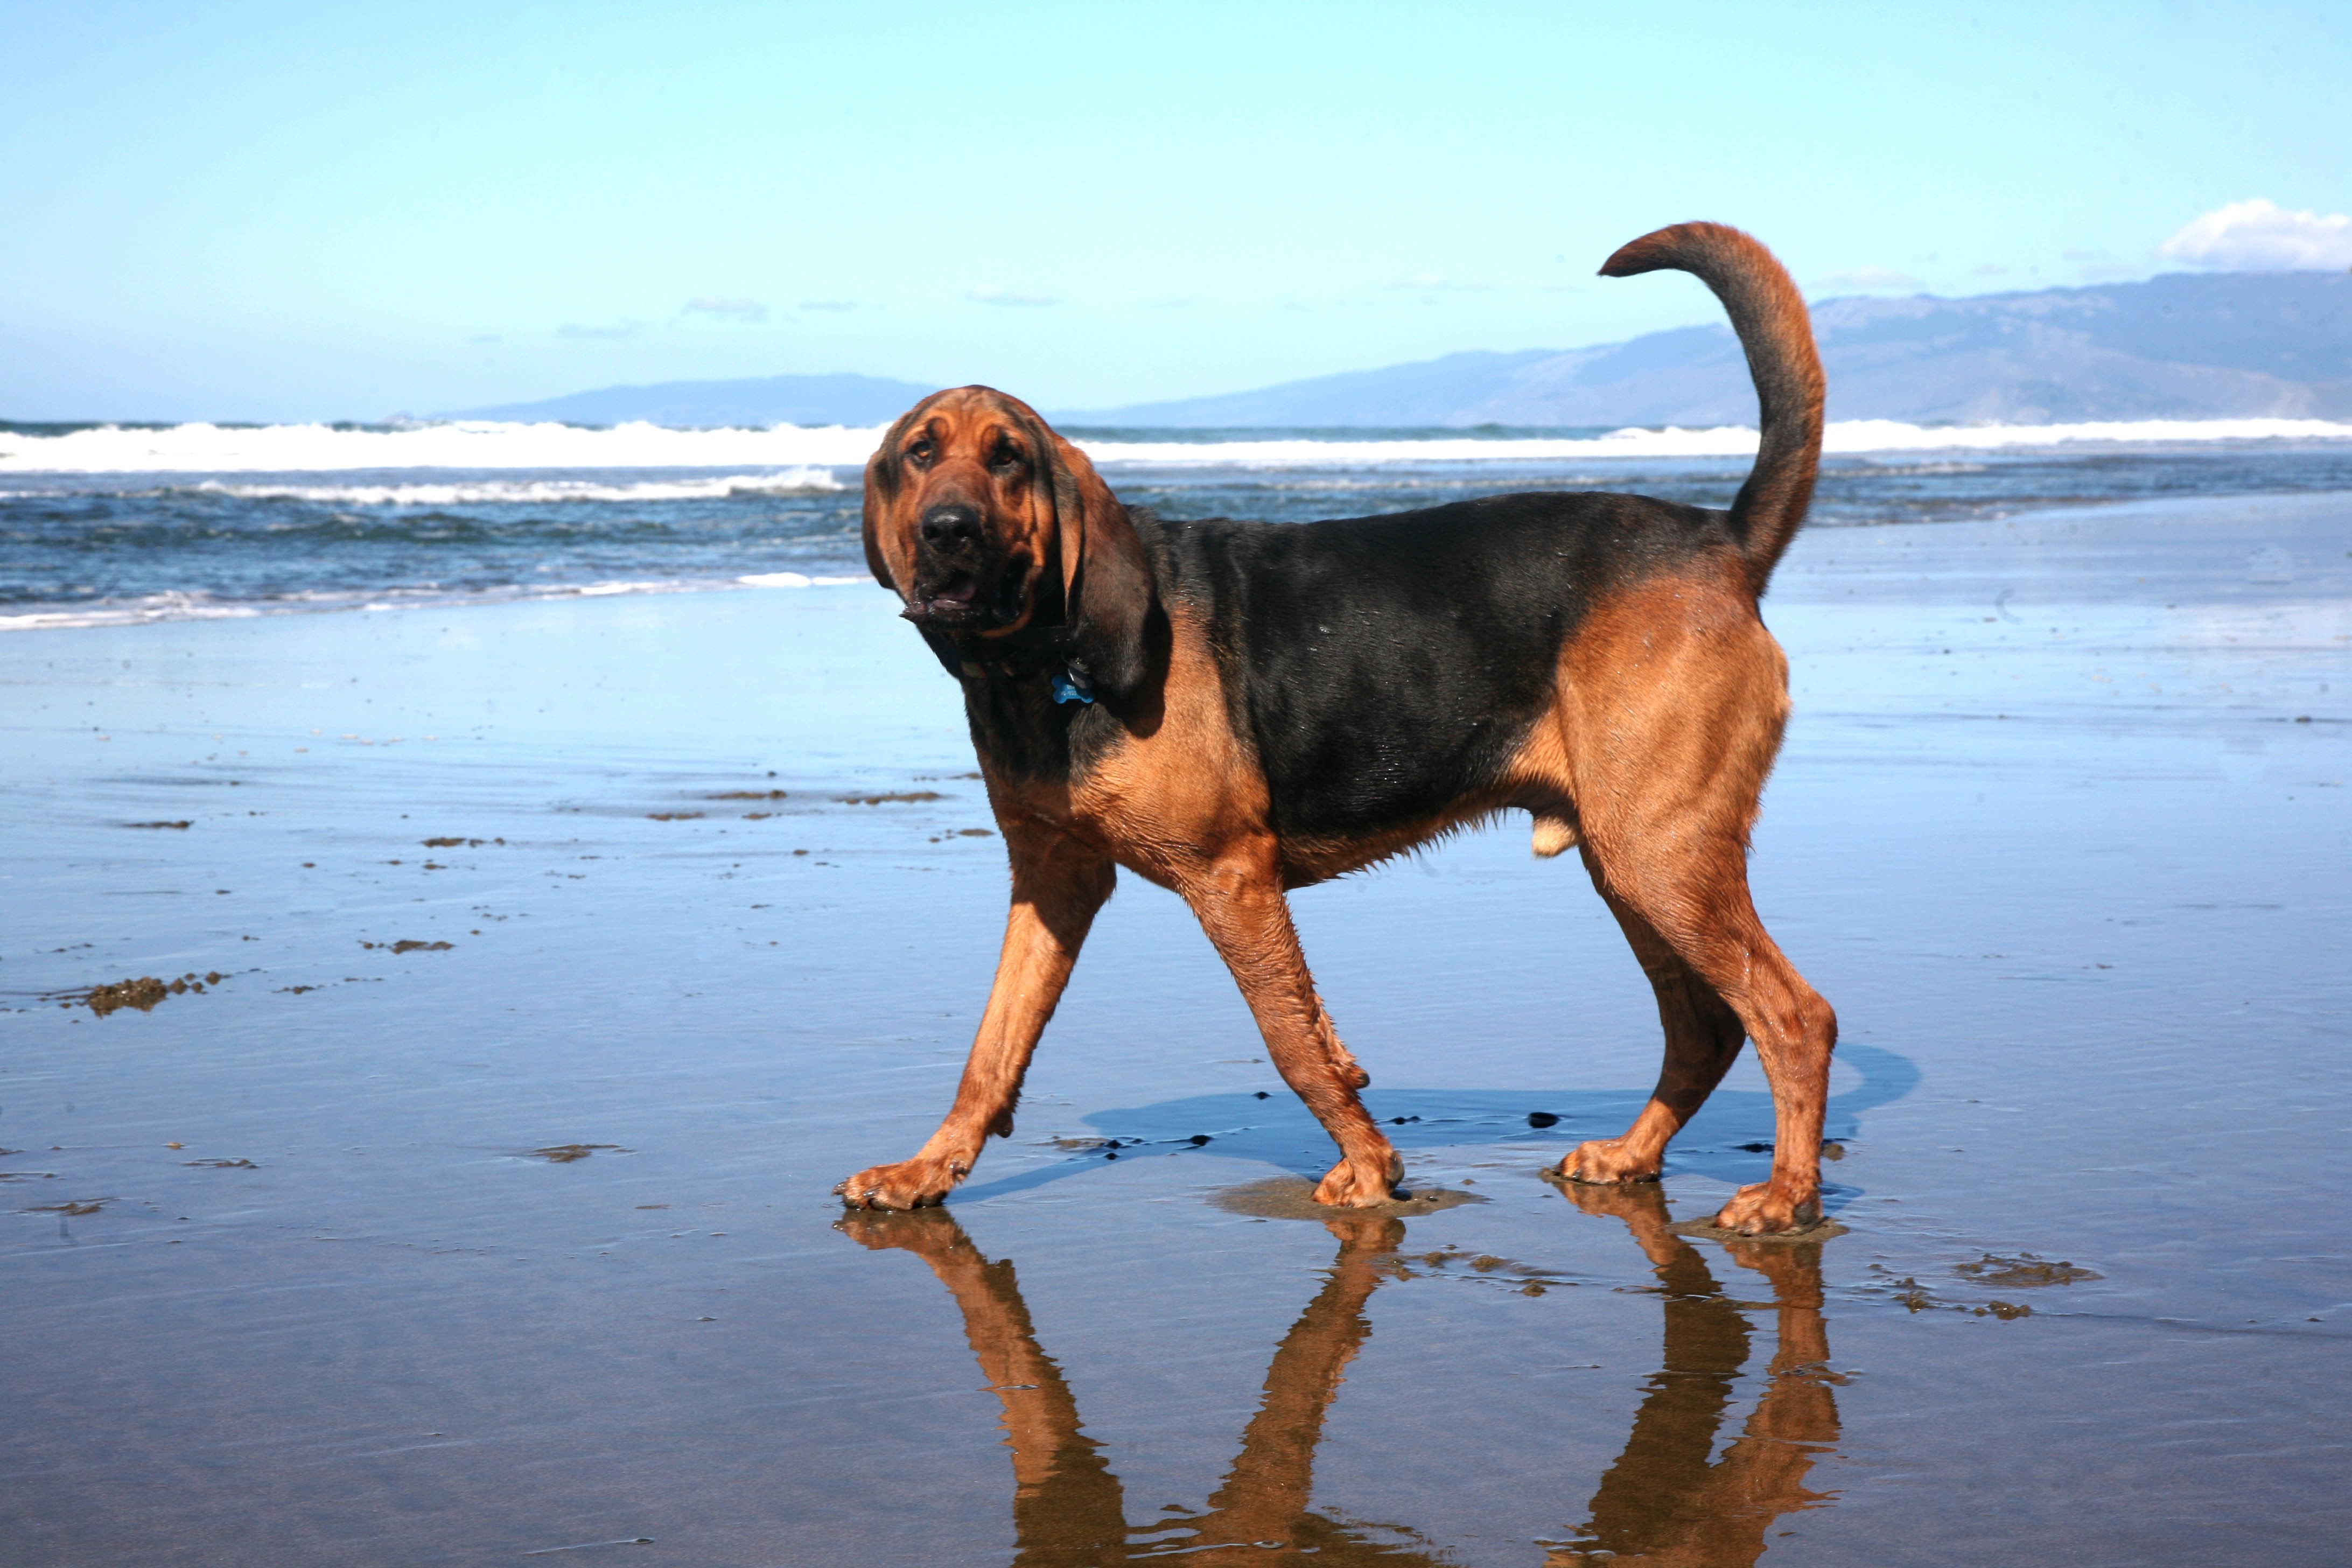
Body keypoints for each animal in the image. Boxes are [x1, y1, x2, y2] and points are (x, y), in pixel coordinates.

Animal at [842, 221, 1835, 1231]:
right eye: (919, 453)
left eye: (1008, 458)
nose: (948, 529)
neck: (1038, 665)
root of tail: (1722, 539)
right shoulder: (1053, 881)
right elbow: (990, 1049)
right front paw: (924, 1171)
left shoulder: (1231, 876)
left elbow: (1291, 1040)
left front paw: (1368, 1165)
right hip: (1630, 861)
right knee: (1705, 1025)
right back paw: (1633, 1155)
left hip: (1659, 854)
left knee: (1794, 1017)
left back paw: (1784, 1195)